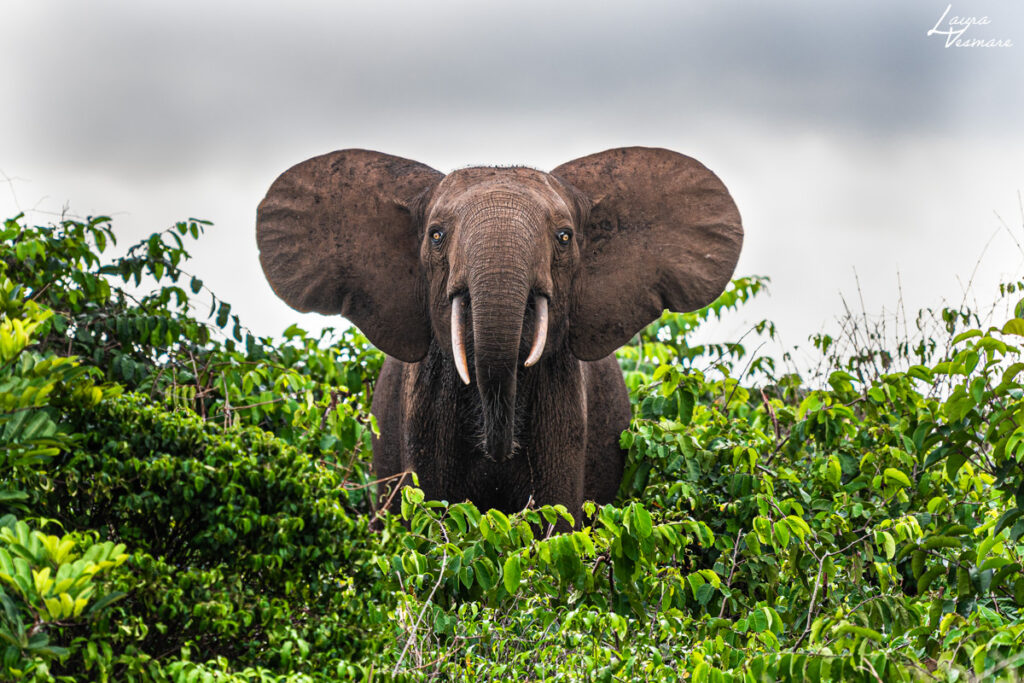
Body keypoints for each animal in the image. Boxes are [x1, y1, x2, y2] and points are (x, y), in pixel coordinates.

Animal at [252, 145, 741, 524]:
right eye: (436, 236)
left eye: (564, 237)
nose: (499, 449)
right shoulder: (425, 403)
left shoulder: (564, 399)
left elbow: (555, 520)